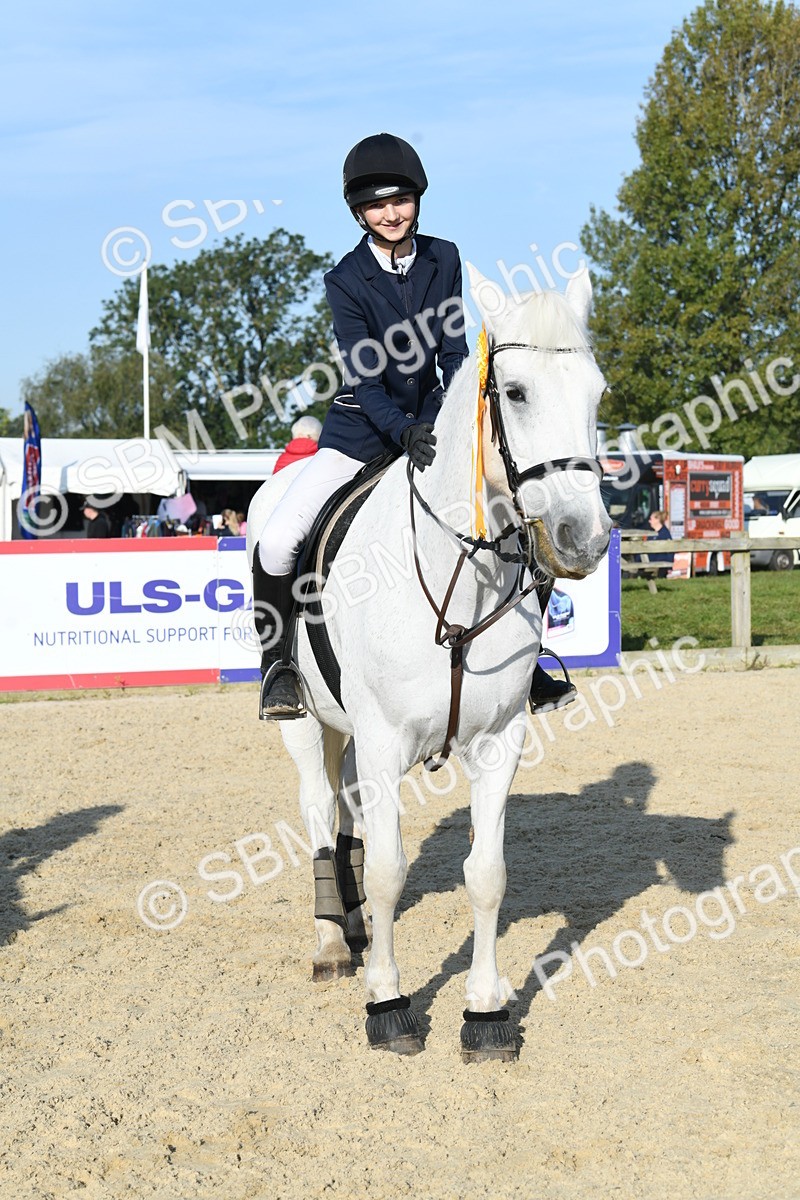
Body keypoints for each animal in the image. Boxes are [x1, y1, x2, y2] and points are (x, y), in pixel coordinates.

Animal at [246, 264, 612, 1061]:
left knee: (349, 813)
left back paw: (351, 927)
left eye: (598, 394)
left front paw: (485, 1011)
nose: (585, 539)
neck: (457, 570)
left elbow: (487, 874)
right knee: (319, 809)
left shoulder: (500, 741)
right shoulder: (385, 740)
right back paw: (332, 943)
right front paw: (388, 1002)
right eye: (516, 393)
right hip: (305, 721)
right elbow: (389, 872)